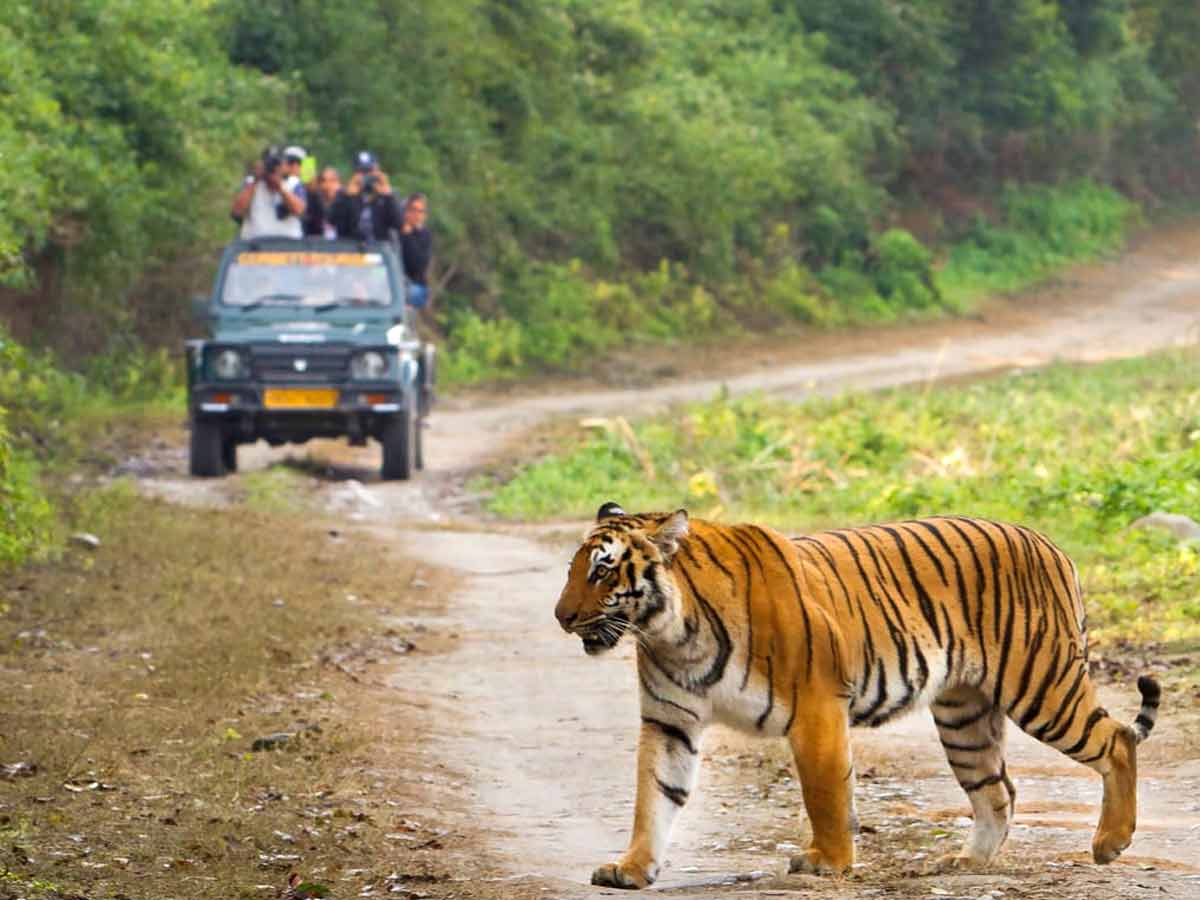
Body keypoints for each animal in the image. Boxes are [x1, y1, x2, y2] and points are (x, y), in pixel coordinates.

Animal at [554, 504, 1161, 892]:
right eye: (572, 569)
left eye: (602, 570)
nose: (561, 617)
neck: (671, 632)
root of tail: (1050, 543)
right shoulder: (669, 721)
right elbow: (654, 796)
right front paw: (633, 868)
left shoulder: (816, 707)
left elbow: (824, 792)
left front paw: (828, 861)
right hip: (964, 716)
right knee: (999, 791)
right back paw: (964, 862)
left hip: (1042, 685)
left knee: (1116, 740)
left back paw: (1110, 842)